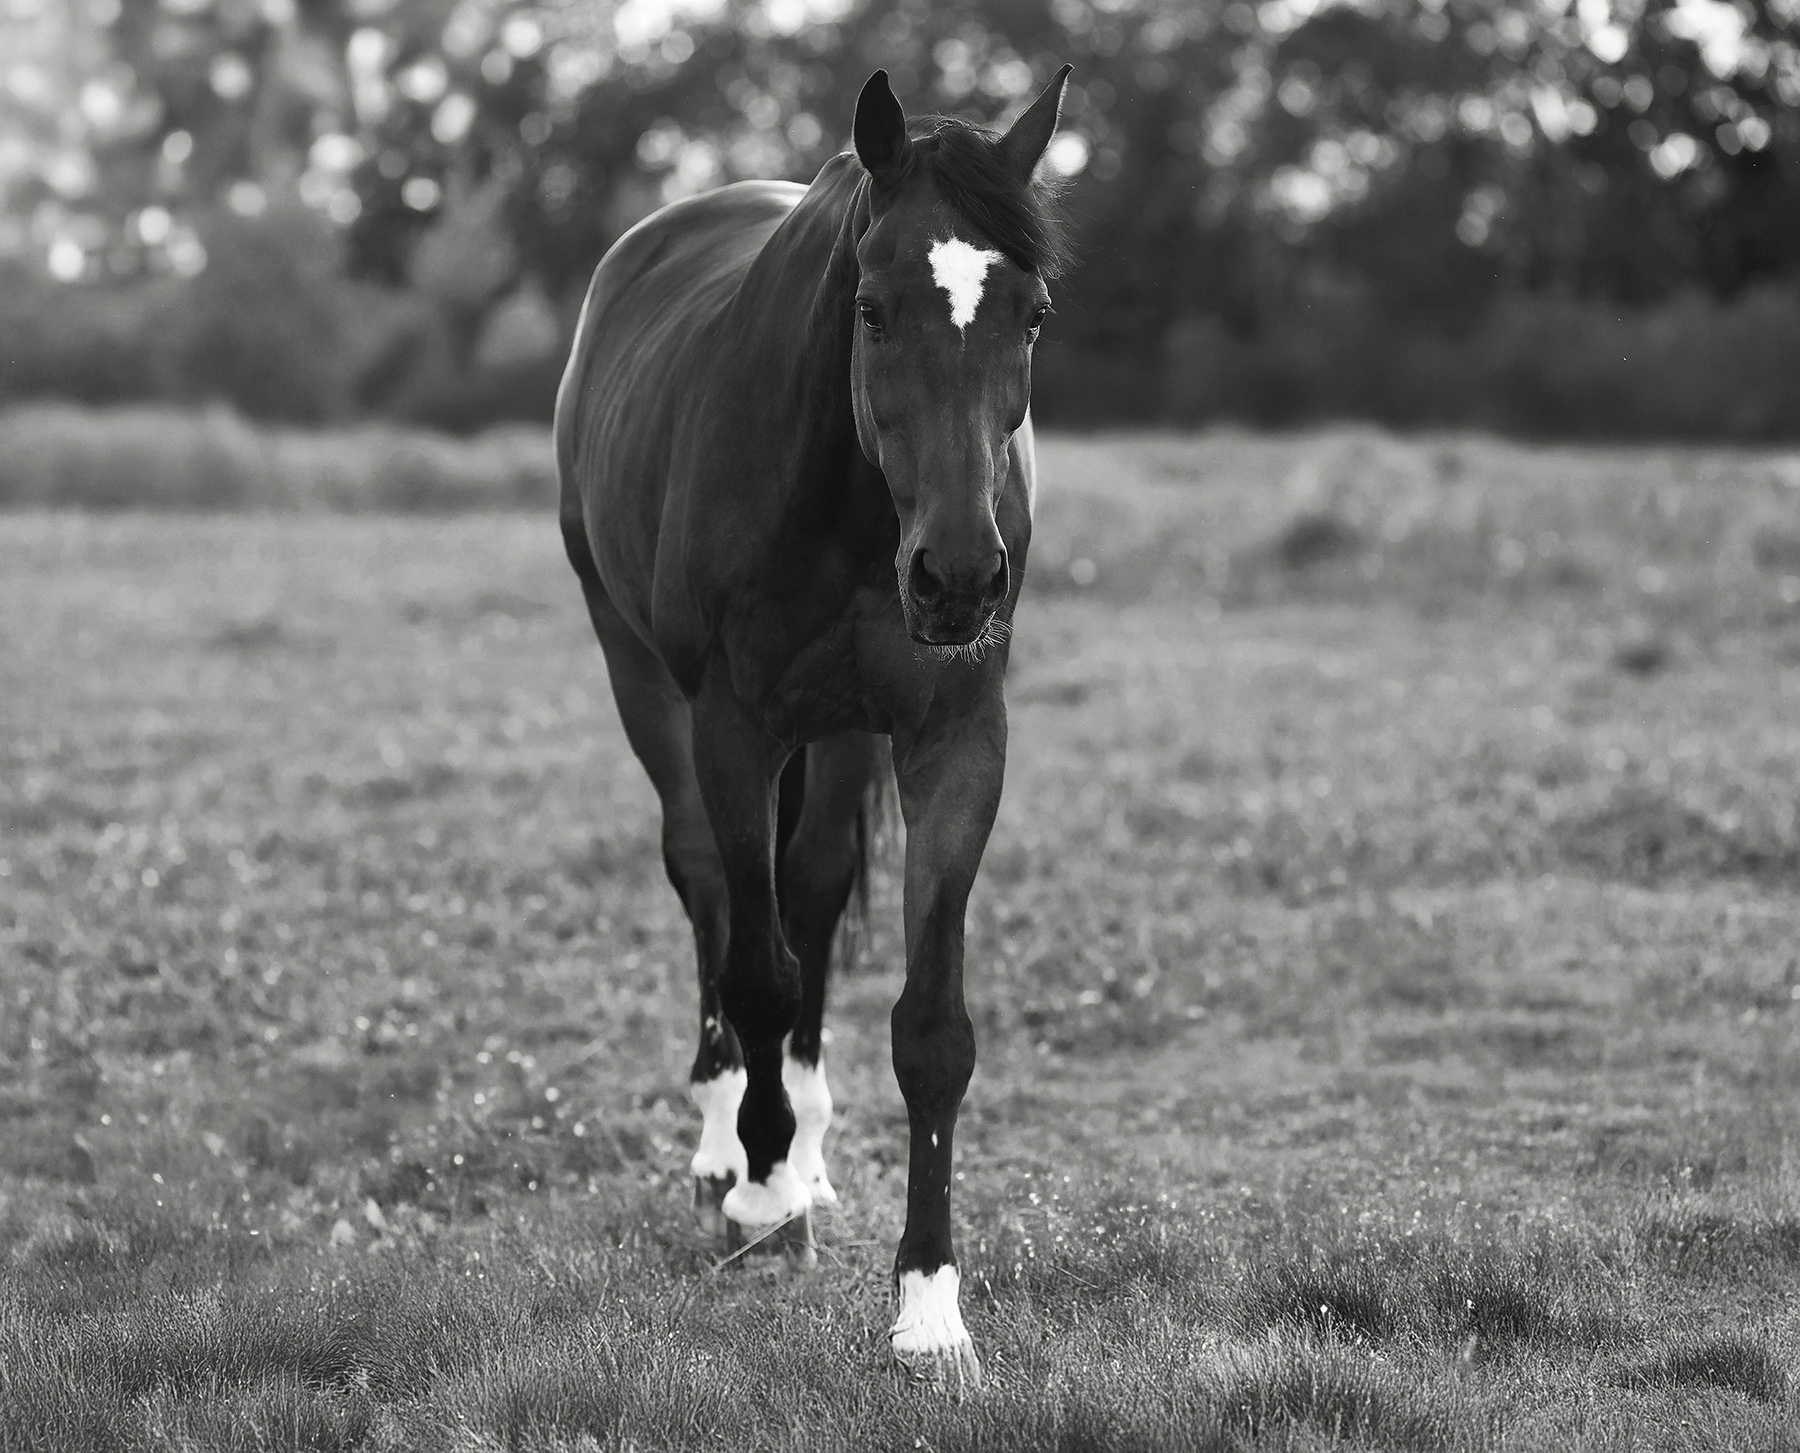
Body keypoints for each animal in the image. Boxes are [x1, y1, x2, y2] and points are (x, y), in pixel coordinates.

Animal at [553, 64, 1072, 1394]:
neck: (852, 506)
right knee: (710, 887)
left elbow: (929, 1025)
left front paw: (930, 1307)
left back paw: (806, 1134)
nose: (958, 577)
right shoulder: (734, 726)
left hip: (843, 734)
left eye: (1030, 314)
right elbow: (755, 957)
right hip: (642, 677)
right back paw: (731, 1142)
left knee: (819, 883)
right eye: (873, 309)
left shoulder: (956, 735)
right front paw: (759, 1192)